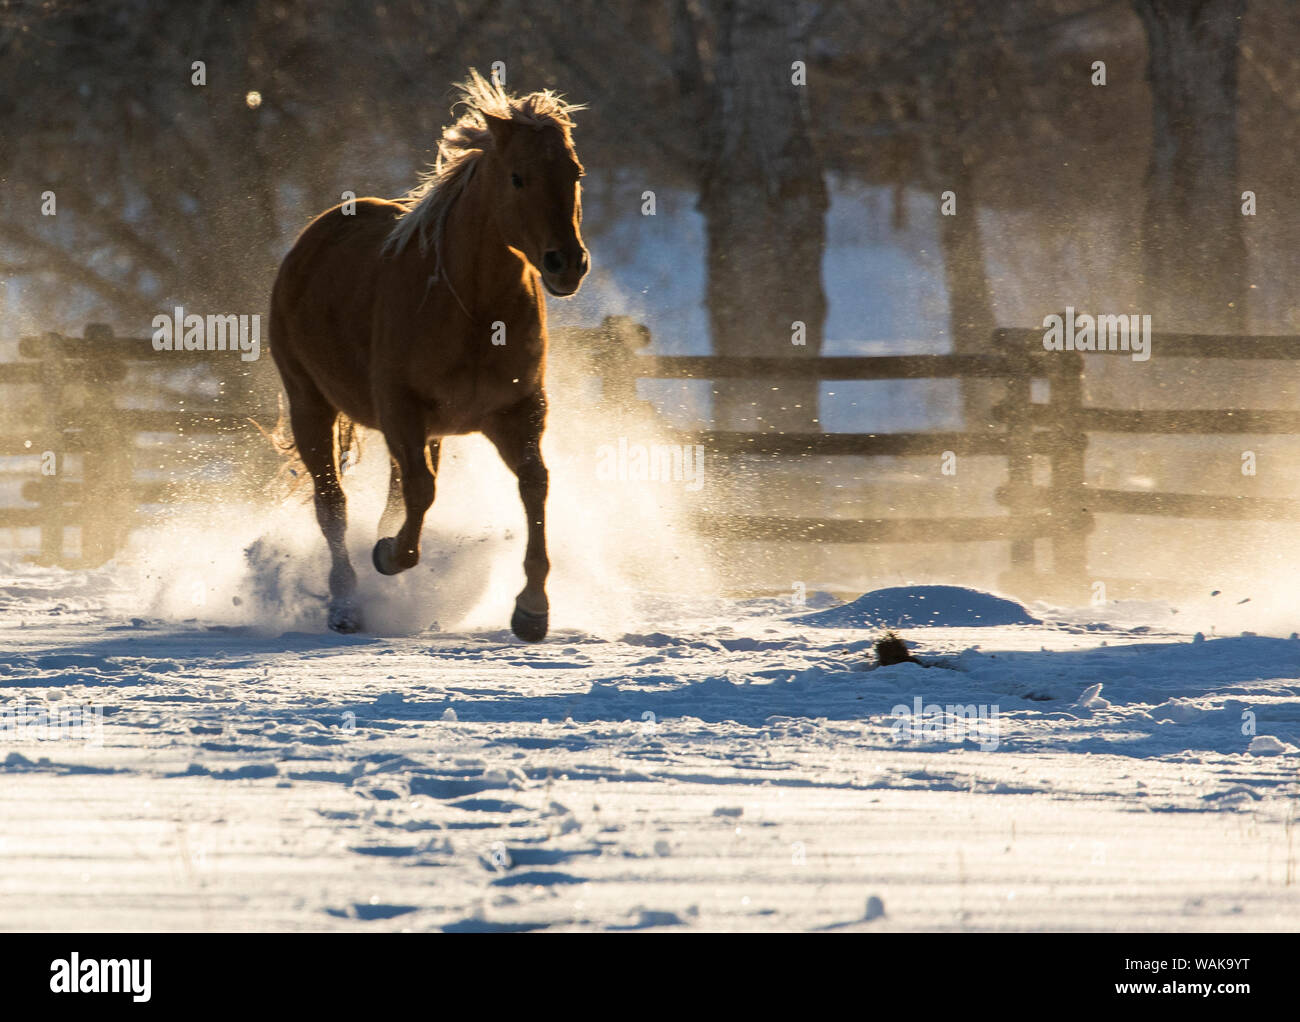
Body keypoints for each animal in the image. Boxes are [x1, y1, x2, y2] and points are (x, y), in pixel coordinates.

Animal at [268, 70, 588, 641]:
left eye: (573, 173)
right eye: (518, 177)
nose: (566, 263)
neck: (477, 313)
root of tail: (311, 239)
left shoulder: (517, 412)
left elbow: (535, 485)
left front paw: (532, 610)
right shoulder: (401, 409)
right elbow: (420, 492)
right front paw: (389, 555)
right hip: (309, 404)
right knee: (332, 504)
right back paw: (346, 606)